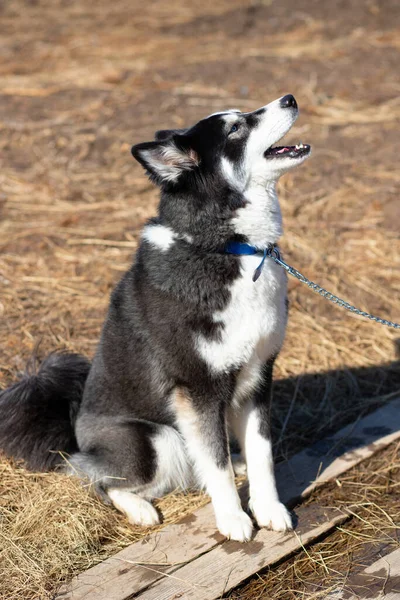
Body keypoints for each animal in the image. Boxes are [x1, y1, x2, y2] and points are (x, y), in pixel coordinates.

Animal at [0, 95, 310, 544]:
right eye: (236, 128)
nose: (289, 99)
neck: (226, 246)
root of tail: (76, 440)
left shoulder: (257, 378)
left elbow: (261, 455)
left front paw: (269, 509)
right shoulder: (196, 390)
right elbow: (215, 465)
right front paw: (233, 519)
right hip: (155, 440)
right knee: (103, 483)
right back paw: (141, 508)